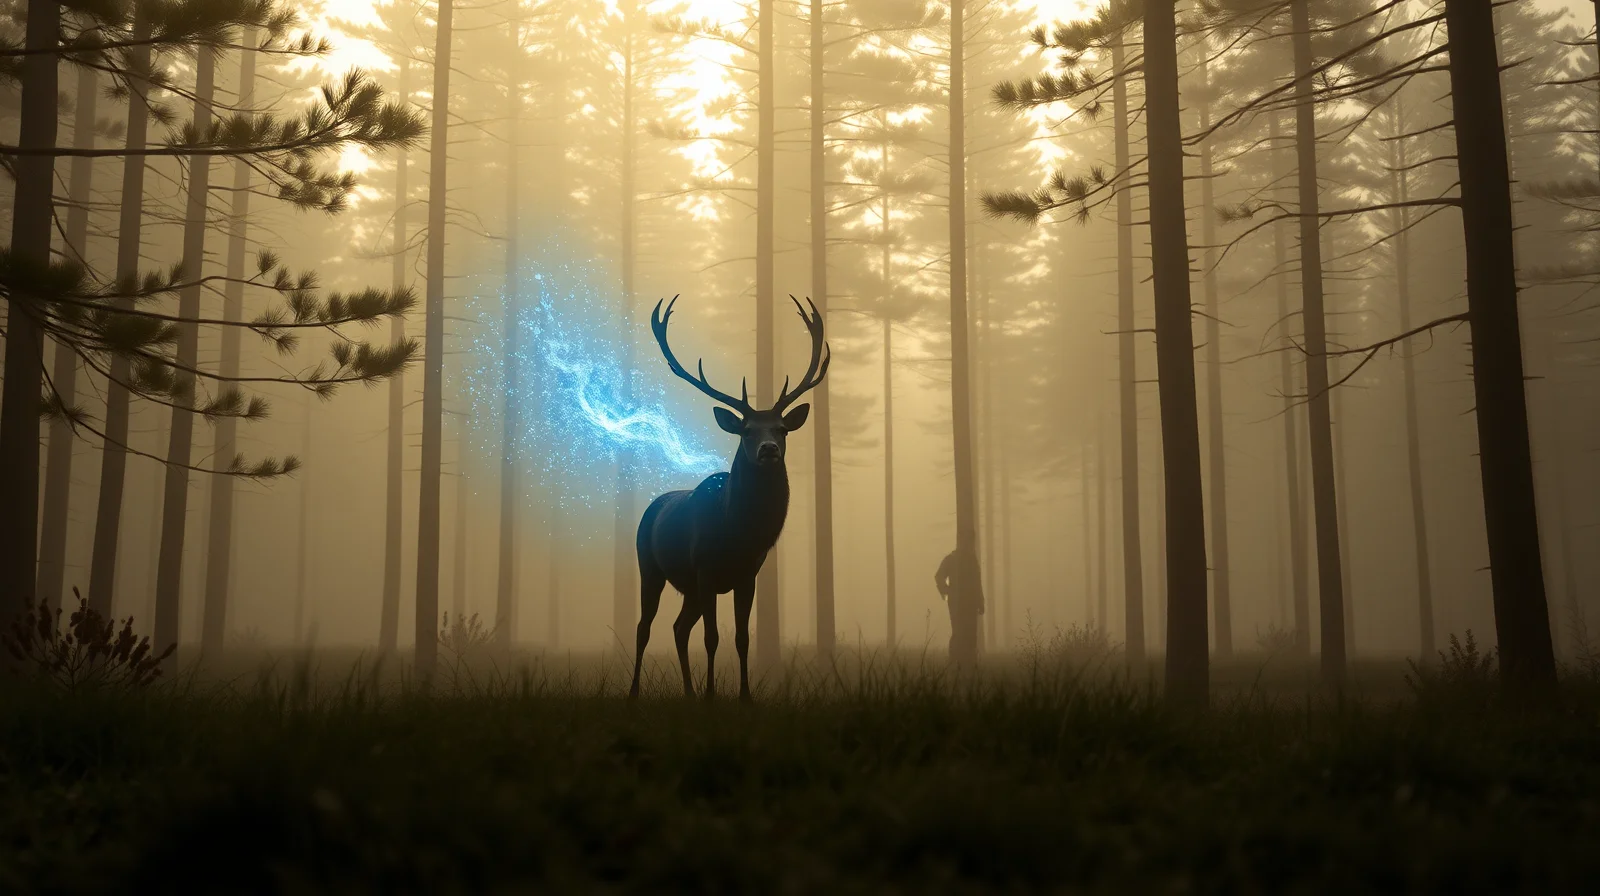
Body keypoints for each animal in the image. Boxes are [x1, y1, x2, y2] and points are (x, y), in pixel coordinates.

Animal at [628, 295, 830, 702]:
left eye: (782, 429)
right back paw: (635, 692)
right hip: (650, 566)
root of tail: (652, 507)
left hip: (687, 587)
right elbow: (712, 637)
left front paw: (744, 696)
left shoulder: (747, 574)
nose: (769, 449)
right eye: (747, 431)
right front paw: (710, 696)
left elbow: (740, 638)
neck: (737, 535)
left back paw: (688, 693)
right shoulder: (705, 569)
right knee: (644, 627)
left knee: (678, 627)